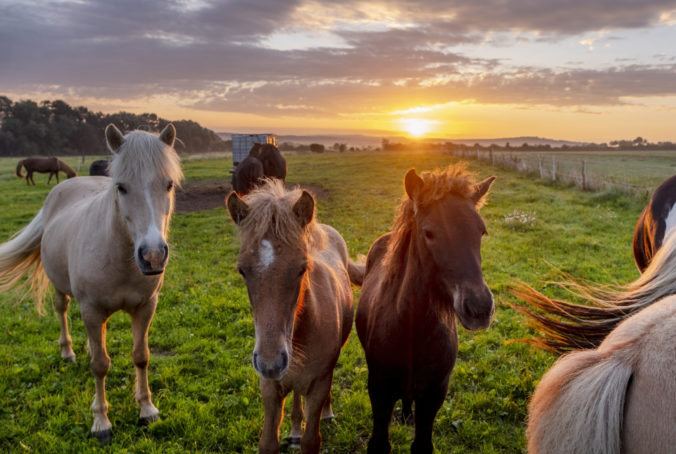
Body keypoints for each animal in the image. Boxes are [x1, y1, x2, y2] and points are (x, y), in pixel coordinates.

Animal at [0, 123, 182, 444]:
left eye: (168, 185)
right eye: (121, 187)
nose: (152, 255)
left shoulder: (145, 308)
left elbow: (141, 357)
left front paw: (147, 409)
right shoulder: (93, 311)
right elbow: (100, 365)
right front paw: (101, 422)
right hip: (62, 290)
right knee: (62, 311)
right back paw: (68, 352)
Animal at [226, 179, 364, 452]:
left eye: (302, 268)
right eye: (242, 270)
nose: (270, 363)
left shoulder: (319, 384)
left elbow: (312, 440)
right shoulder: (269, 388)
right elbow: (268, 442)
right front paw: (293, 432)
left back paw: (327, 413)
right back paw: (294, 430)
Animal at [354, 165, 496, 452]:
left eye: (481, 231)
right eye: (429, 233)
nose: (479, 308)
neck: (412, 329)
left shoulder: (434, 395)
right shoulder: (379, 391)